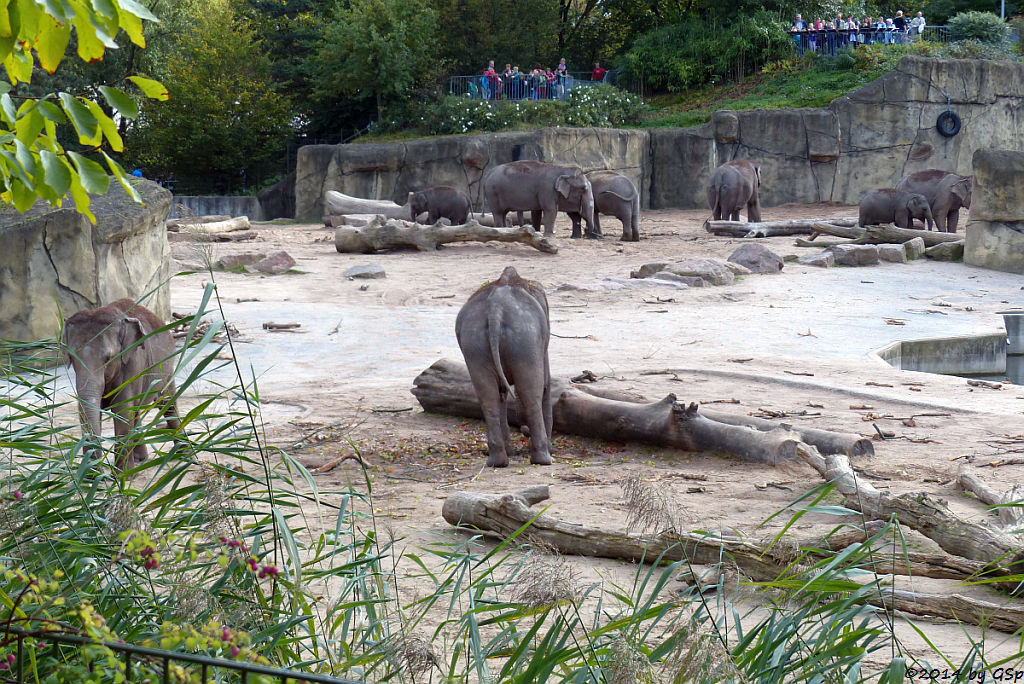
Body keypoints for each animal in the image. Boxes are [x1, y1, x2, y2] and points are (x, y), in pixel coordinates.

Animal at [62, 298, 181, 471]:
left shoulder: (132, 363)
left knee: (167, 402)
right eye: (71, 357)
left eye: (108, 358)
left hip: (166, 368)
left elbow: (122, 409)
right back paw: (140, 459)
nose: (95, 470)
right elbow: (88, 410)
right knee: (137, 411)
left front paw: (122, 474)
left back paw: (184, 453)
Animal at [456, 264, 552, 466]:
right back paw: (543, 459)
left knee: (488, 396)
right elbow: (546, 383)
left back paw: (498, 461)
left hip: (473, 342)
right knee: (532, 392)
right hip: (525, 337)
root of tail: (496, 307)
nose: (524, 431)